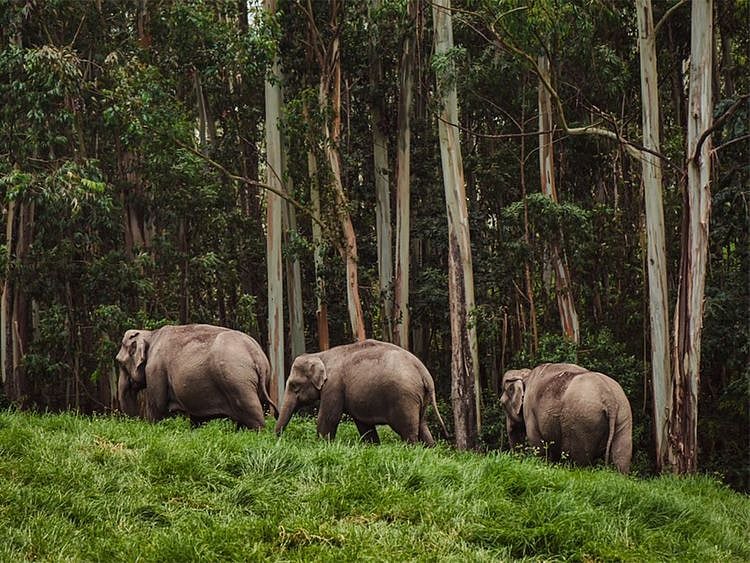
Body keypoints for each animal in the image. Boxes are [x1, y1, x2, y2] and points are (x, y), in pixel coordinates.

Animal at [115, 324, 278, 429]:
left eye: (119, 362)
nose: (135, 423)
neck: (151, 334)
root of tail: (256, 355)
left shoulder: (155, 370)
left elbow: (157, 408)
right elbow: (197, 417)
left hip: (237, 381)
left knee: (252, 414)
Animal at [274, 339, 449, 445]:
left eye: (294, 385)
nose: (277, 438)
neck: (320, 355)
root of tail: (425, 374)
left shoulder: (333, 385)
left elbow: (329, 417)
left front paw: (321, 445)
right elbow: (363, 424)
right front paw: (373, 446)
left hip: (404, 398)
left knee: (408, 430)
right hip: (420, 398)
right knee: (422, 426)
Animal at [500, 363, 632, 473]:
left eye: (501, 404)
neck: (526, 375)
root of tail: (609, 397)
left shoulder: (530, 410)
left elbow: (537, 443)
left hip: (583, 421)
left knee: (580, 459)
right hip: (623, 414)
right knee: (622, 455)